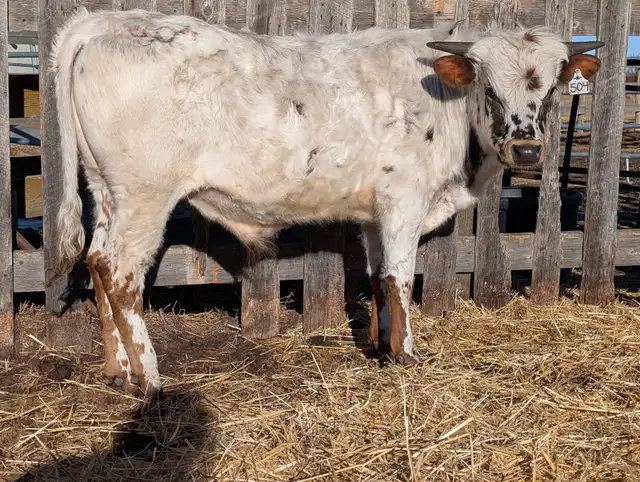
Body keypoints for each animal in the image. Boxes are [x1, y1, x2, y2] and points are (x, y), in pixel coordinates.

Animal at [51, 6, 603, 398]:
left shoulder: (376, 213)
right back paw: (148, 379)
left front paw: (384, 347)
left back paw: (117, 370)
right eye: (488, 88)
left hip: (105, 190)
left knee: (96, 260)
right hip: (145, 195)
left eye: (553, 89)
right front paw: (409, 356)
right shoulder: (404, 200)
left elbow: (379, 279)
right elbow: (401, 278)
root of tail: (105, 20)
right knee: (121, 271)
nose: (527, 149)